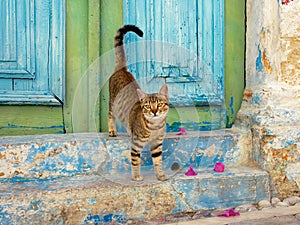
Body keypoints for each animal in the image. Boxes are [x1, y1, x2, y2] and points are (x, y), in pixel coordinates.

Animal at [108, 24, 170, 181]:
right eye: (147, 106)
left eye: (159, 104)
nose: (154, 112)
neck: (155, 127)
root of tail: (122, 69)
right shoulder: (136, 144)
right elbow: (135, 160)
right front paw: (136, 176)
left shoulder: (157, 144)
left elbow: (158, 161)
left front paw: (160, 175)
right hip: (112, 103)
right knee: (110, 115)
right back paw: (112, 130)